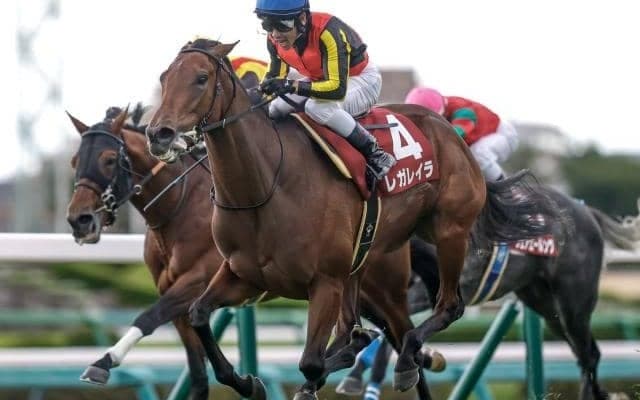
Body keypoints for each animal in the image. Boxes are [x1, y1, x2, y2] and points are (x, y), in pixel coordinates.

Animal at [144, 38, 560, 400]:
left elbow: (312, 362)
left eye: (201, 78)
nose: (158, 133)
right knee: (381, 333)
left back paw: (405, 359)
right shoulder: (240, 273)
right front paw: (249, 383)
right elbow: (199, 315)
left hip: (444, 235)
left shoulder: (324, 282)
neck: (265, 187)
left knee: (439, 313)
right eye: (164, 77)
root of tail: (449, 132)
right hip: (365, 267)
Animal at [338, 188, 640, 400]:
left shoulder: (427, 290)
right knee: (585, 353)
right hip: (544, 304)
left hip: (573, 303)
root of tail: (587, 212)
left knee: (590, 354)